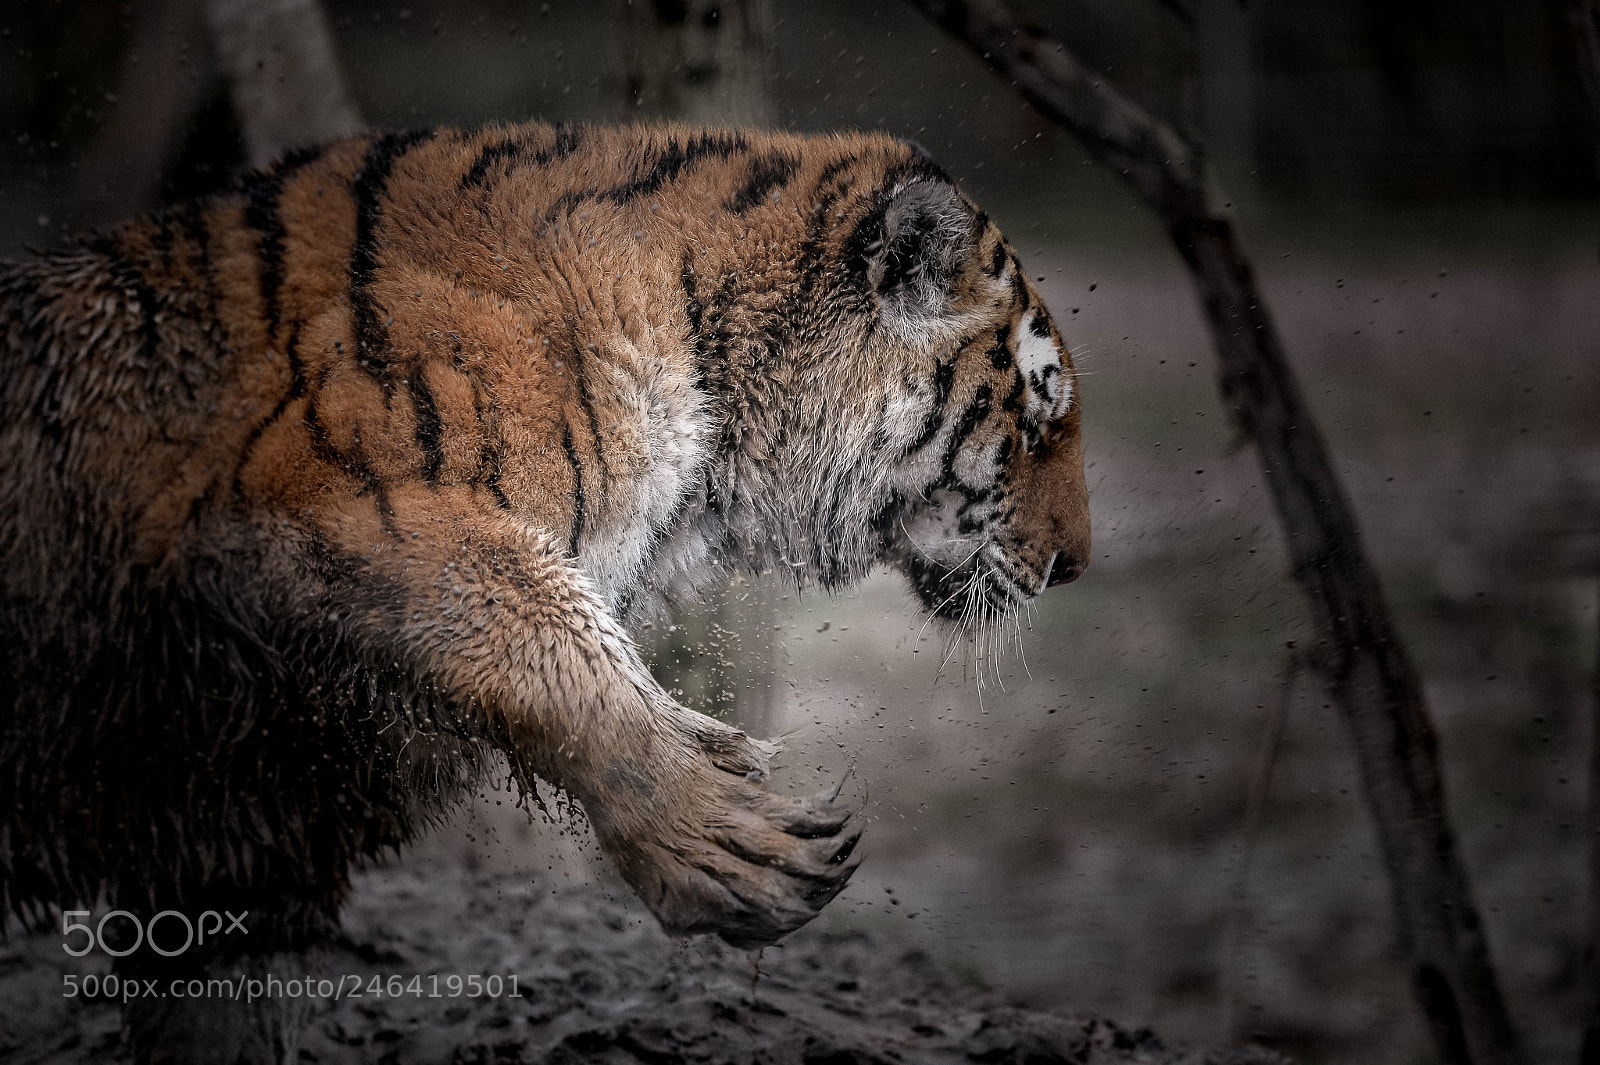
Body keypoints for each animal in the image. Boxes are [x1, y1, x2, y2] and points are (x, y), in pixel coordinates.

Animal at [0, 121, 1089, 1063]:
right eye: (1038, 427)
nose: (1075, 564)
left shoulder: (245, 833)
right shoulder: (323, 508)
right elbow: (553, 639)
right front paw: (725, 840)